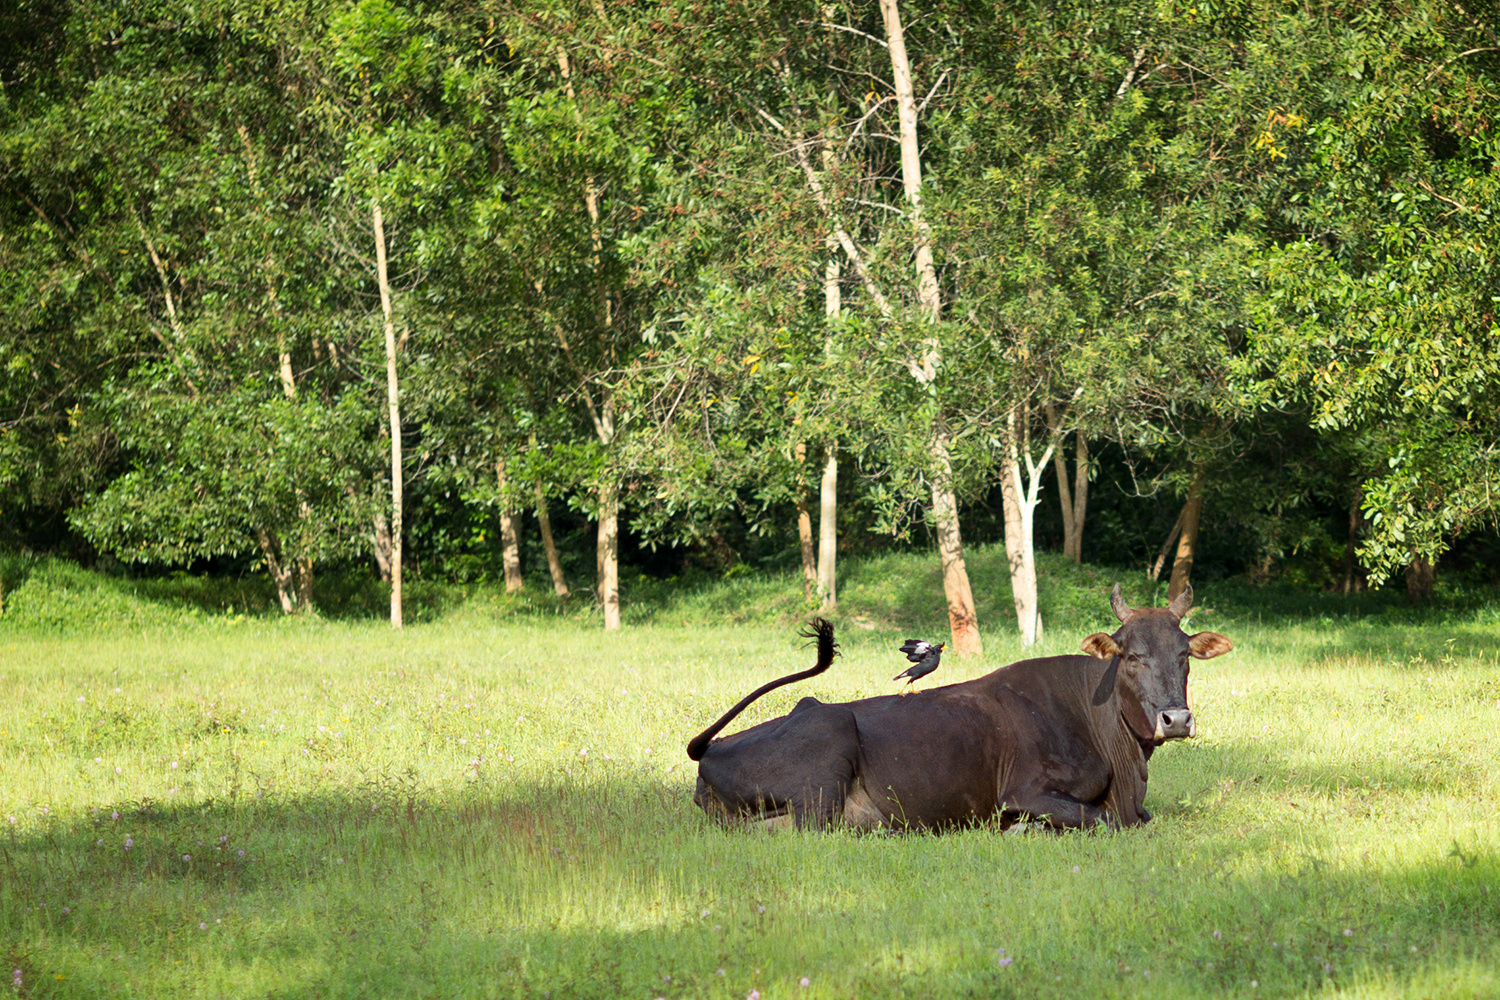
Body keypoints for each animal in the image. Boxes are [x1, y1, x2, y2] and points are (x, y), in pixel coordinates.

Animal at [687, 581, 1230, 833]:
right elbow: (1100, 821)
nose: (1175, 719)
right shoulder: (1025, 791)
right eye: (1132, 656)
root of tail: (711, 749)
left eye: (1184, 655)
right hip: (826, 760)